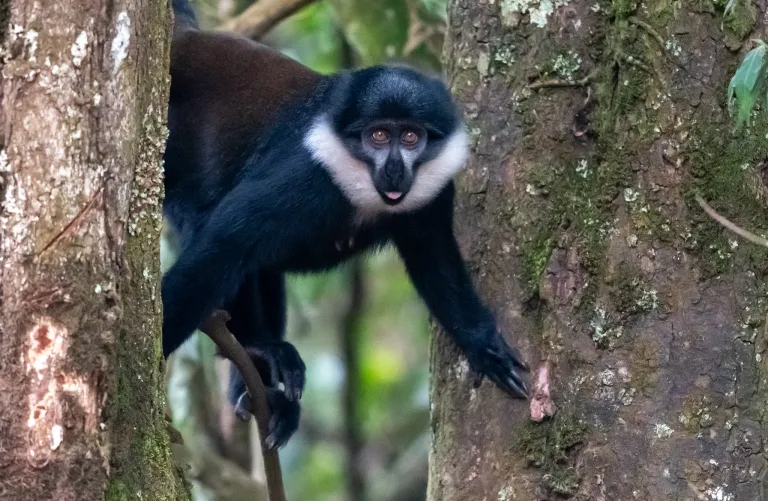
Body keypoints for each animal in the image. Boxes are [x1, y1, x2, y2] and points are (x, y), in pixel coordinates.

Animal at [164, 0, 529, 450]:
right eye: (378, 136)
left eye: (411, 137)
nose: (394, 170)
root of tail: (183, 42)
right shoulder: (303, 176)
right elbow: (225, 241)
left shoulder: (433, 196)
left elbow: (435, 260)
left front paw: (482, 344)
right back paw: (260, 351)